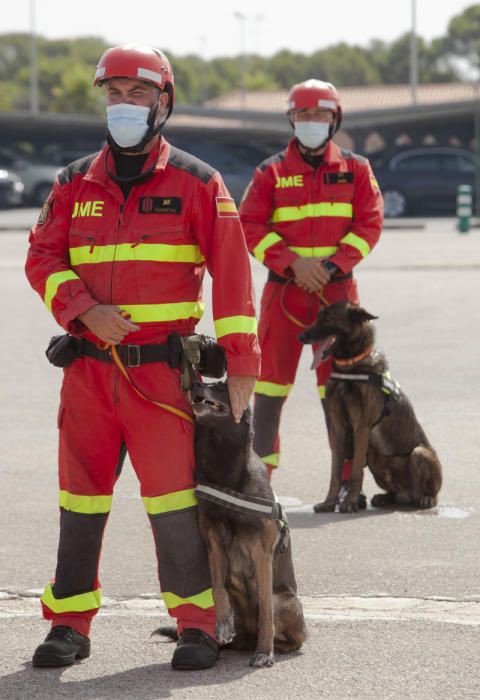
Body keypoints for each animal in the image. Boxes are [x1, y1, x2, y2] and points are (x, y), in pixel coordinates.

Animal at [190, 380, 306, 668]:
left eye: (221, 386)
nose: (194, 382)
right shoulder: (214, 545)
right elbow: (217, 587)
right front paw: (222, 624)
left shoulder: (261, 554)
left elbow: (265, 612)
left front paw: (265, 652)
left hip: (284, 600)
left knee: (292, 635)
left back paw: (274, 645)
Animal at [300, 300, 442, 516]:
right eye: (318, 317)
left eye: (328, 319)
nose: (301, 337)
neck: (349, 365)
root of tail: (408, 494)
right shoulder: (338, 428)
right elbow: (335, 471)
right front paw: (329, 502)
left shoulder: (362, 426)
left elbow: (356, 470)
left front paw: (349, 502)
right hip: (375, 457)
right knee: (394, 493)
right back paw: (385, 498)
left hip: (419, 453)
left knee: (432, 492)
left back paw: (426, 498)